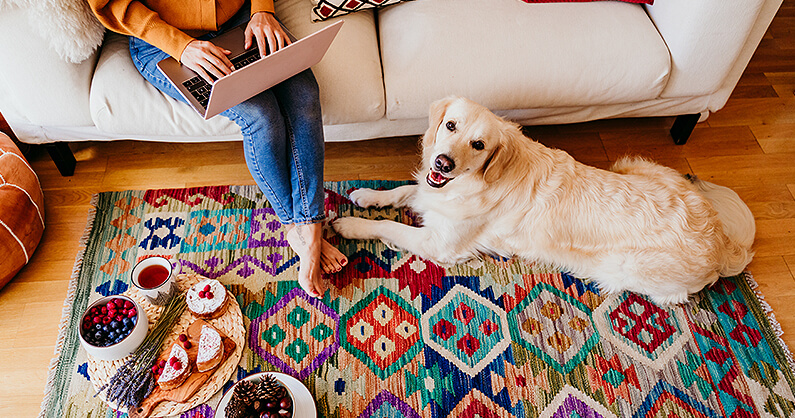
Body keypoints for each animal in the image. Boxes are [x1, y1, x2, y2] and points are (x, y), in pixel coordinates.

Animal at [332, 96, 756, 304]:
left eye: (479, 145)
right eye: (450, 125)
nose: (442, 162)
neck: (475, 181)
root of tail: (721, 242)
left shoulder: (441, 243)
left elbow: (390, 225)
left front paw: (350, 223)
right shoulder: (433, 192)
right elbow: (406, 190)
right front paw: (367, 194)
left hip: (626, 268)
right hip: (634, 164)